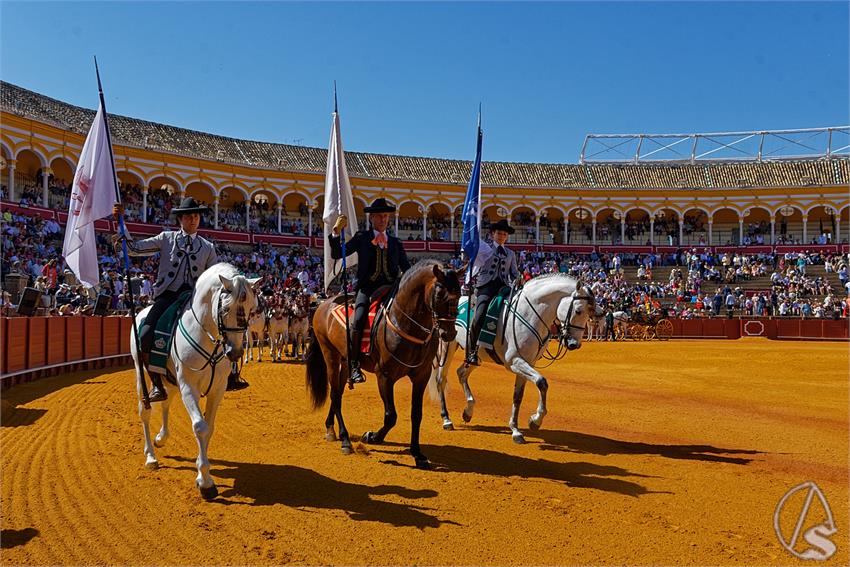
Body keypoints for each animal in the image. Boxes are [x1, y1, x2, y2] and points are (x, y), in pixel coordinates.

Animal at [129, 264, 258, 500]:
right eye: (225, 310)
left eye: (252, 308)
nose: (235, 353)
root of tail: (142, 311)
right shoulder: (189, 386)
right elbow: (200, 426)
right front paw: (206, 483)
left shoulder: (218, 388)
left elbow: (210, 426)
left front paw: (201, 472)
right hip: (139, 371)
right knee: (145, 411)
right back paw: (150, 456)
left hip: (170, 379)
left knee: (166, 402)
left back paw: (161, 437)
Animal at [306, 260, 460, 468]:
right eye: (439, 295)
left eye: (459, 295)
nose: (449, 334)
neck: (404, 322)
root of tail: (323, 304)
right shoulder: (385, 376)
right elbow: (391, 416)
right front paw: (372, 436)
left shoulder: (421, 375)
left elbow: (416, 414)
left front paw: (417, 453)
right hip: (330, 354)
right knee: (335, 394)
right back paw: (345, 440)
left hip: (345, 360)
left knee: (338, 392)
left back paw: (331, 429)